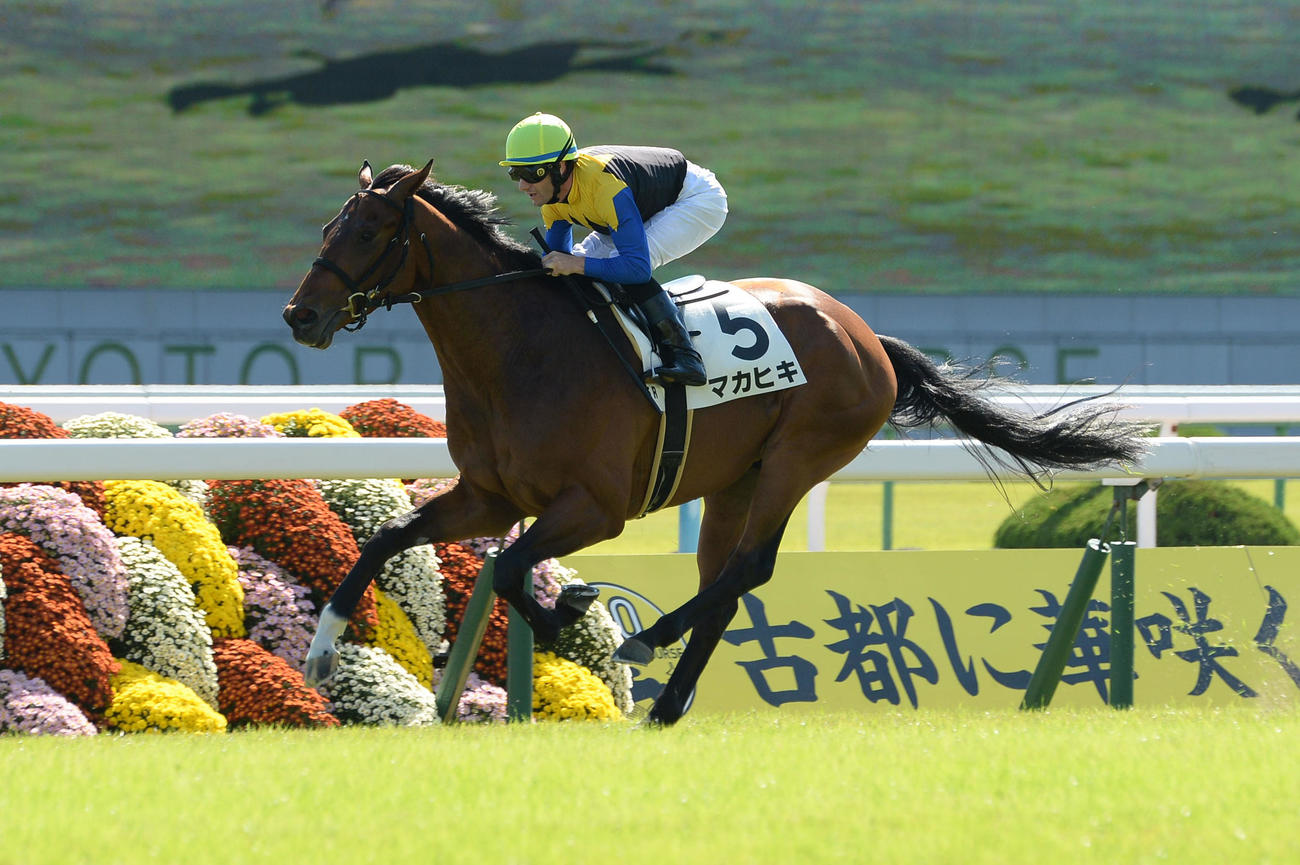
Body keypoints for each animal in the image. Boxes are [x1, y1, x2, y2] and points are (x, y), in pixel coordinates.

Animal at [283, 159, 1147, 725]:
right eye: (328, 225)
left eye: (369, 229)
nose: (300, 314)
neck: (517, 353)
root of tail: (867, 335)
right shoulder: (487, 495)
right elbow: (392, 537)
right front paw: (323, 650)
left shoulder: (597, 507)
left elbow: (510, 566)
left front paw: (571, 612)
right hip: (736, 478)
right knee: (724, 581)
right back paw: (668, 700)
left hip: (799, 458)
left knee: (747, 569)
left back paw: (650, 647)